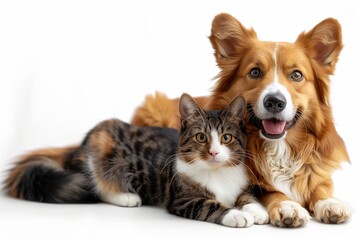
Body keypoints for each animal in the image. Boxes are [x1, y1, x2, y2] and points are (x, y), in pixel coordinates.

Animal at [4, 93, 268, 228]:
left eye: (226, 138)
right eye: (201, 137)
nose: (213, 152)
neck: (217, 173)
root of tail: (79, 146)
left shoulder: (241, 186)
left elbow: (247, 198)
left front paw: (257, 211)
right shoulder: (183, 199)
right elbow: (211, 205)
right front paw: (236, 214)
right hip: (99, 150)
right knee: (96, 186)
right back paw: (126, 196)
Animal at [130, 13, 352, 227]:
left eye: (296, 75)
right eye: (255, 72)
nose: (274, 102)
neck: (278, 149)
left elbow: (319, 187)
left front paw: (330, 202)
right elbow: (271, 192)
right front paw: (287, 205)